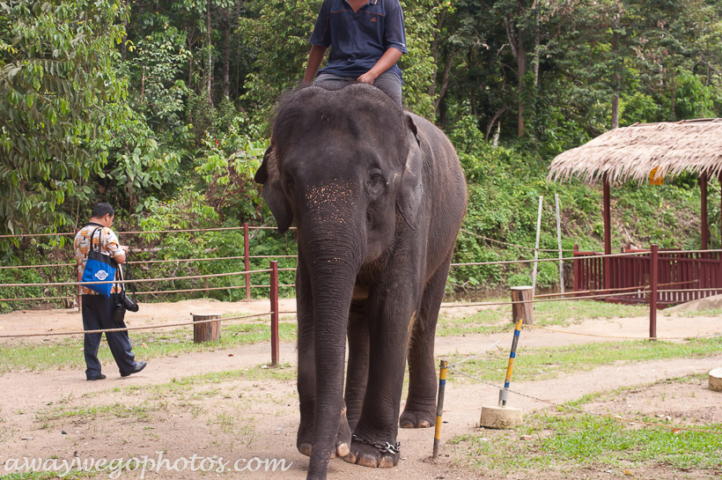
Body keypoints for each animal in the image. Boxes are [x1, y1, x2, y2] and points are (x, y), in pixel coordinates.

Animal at [253, 84, 466, 478]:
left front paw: (371, 456)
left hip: (449, 234)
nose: (318, 469)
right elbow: (310, 309)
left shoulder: (414, 214)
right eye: (289, 182)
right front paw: (321, 443)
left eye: (375, 179)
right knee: (358, 323)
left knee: (424, 317)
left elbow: (393, 311)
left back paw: (417, 421)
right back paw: (351, 423)